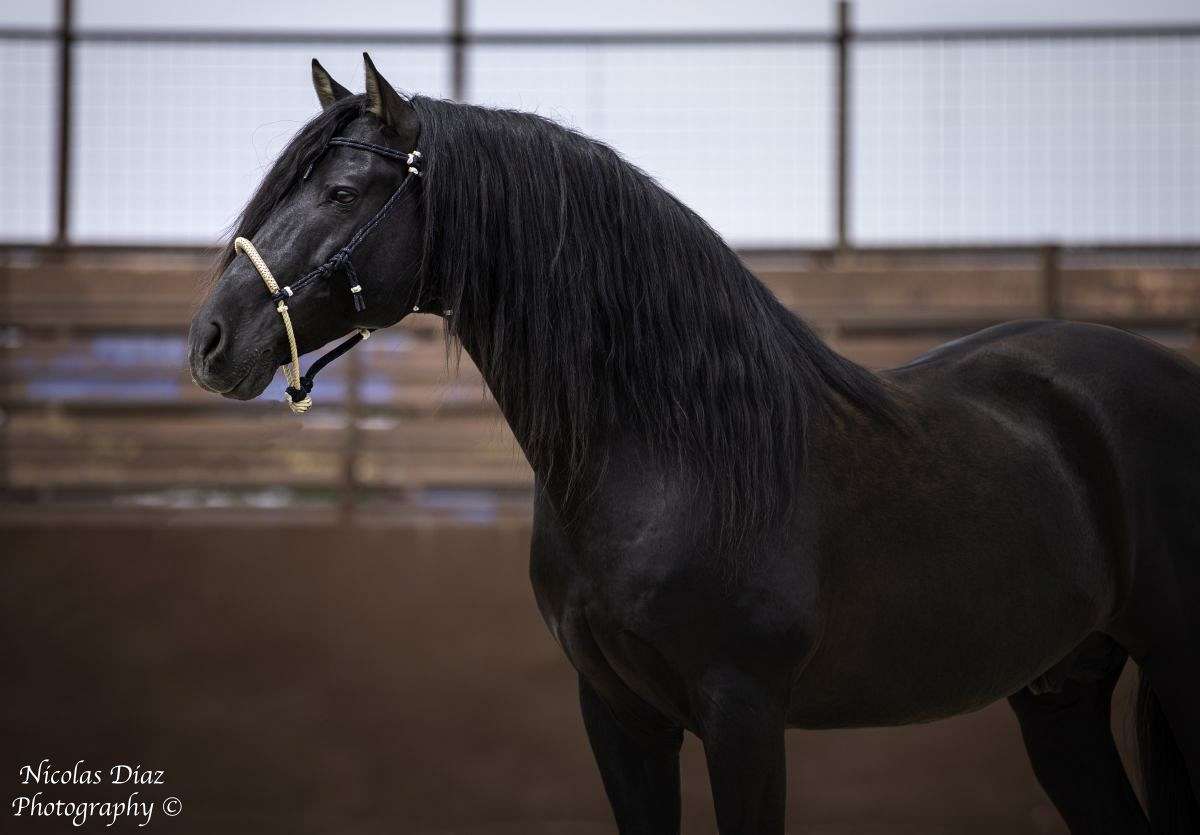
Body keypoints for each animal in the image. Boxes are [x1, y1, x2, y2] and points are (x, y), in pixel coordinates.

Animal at [187, 55, 1200, 830]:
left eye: (343, 191)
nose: (208, 341)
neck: (668, 457)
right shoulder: (620, 715)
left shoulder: (744, 718)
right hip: (1061, 692)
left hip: (1172, 664)